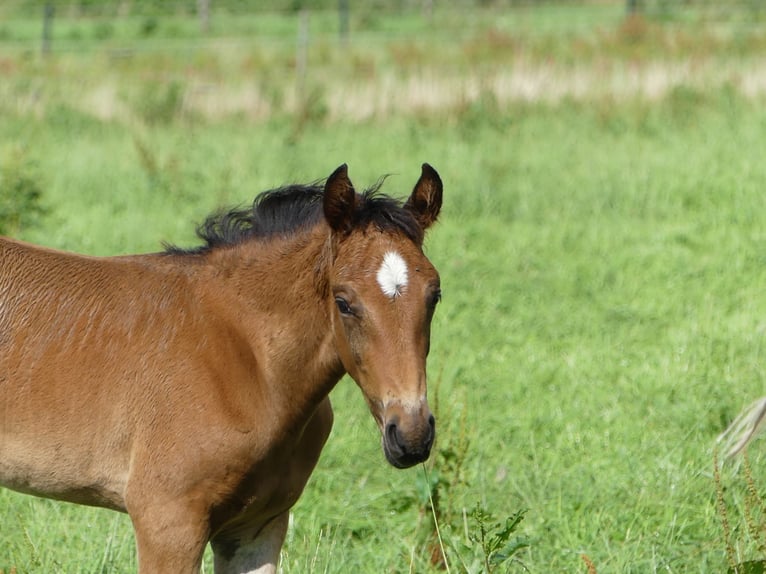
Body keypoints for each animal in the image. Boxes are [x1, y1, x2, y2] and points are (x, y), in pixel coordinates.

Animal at [0, 163, 444, 574]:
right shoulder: (168, 523)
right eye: (344, 302)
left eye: (435, 294)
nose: (411, 435)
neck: (248, 358)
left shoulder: (258, 526)